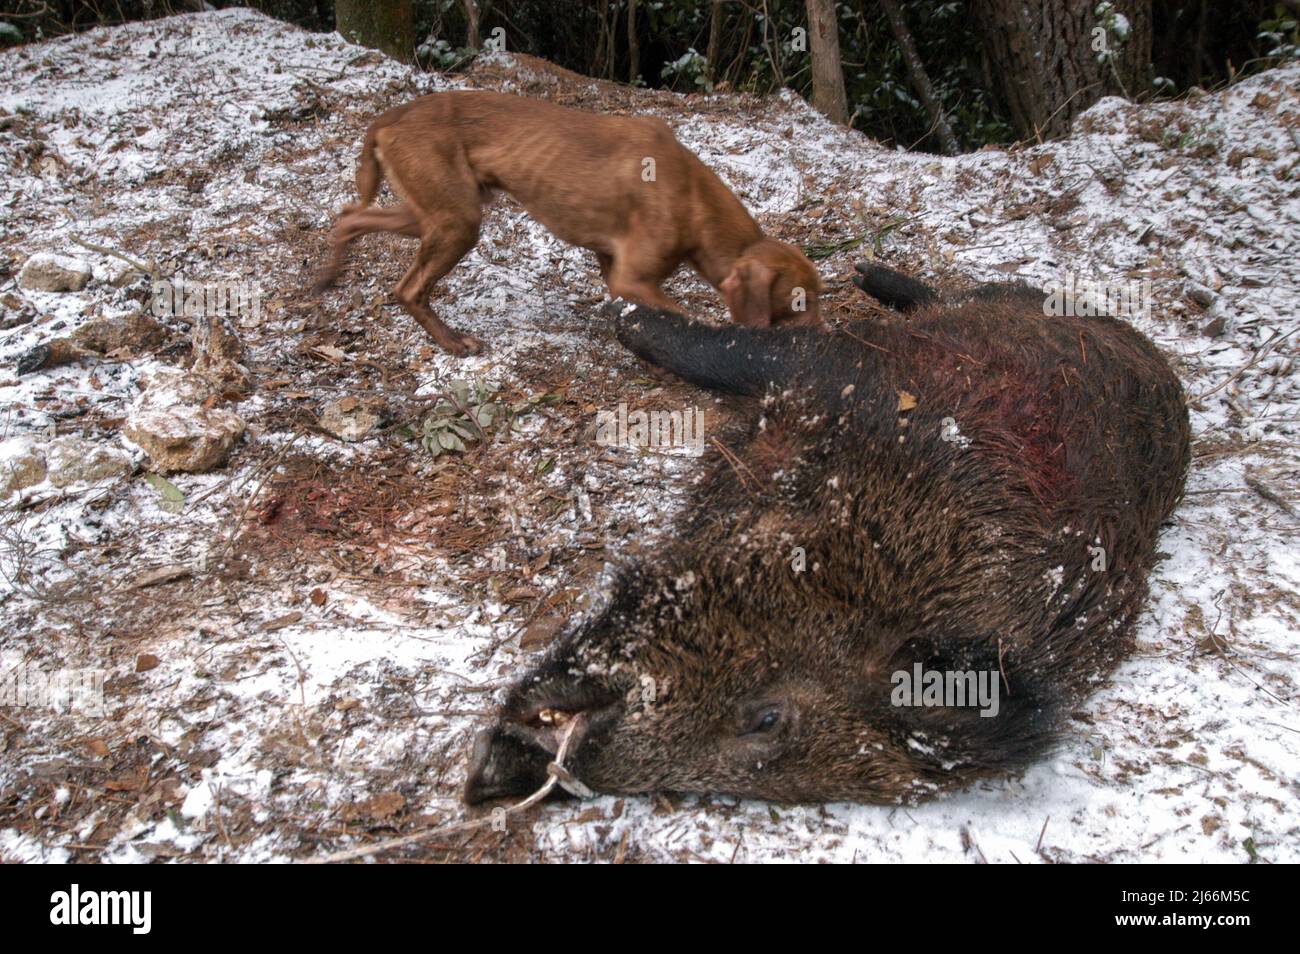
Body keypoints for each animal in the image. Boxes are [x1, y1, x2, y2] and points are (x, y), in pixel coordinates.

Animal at [314, 91, 821, 356]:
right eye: (798, 301)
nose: (825, 337)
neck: (696, 199)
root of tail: (391, 115)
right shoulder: (631, 278)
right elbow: (689, 315)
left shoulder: (612, 265)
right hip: (458, 222)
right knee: (407, 289)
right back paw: (454, 342)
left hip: (432, 214)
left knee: (349, 216)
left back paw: (328, 275)